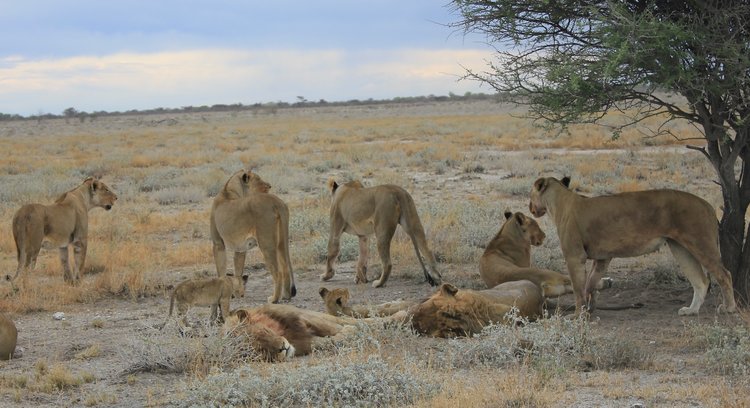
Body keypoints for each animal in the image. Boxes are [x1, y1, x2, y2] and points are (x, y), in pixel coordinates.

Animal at [212, 169, 296, 302]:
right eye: (259, 179)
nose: (270, 185)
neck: (229, 191)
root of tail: (276, 202)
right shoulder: (240, 247)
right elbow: (238, 272)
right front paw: (238, 294)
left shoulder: (217, 243)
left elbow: (221, 270)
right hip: (281, 243)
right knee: (285, 268)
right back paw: (285, 296)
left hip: (266, 244)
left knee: (277, 272)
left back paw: (274, 299)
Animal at [528, 176, 740, 316]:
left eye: (530, 195)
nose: (530, 207)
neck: (559, 203)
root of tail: (707, 205)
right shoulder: (602, 258)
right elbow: (590, 283)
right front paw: (590, 308)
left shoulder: (574, 255)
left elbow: (578, 287)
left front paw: (578, 314)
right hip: (680, 248)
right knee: (701, 281)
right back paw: (691, 310)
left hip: (700, 242)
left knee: (724, 274)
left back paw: (729, 308)